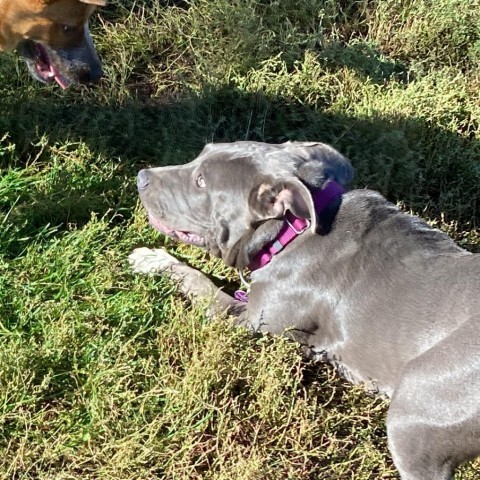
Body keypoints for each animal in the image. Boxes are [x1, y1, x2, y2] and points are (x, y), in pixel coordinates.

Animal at [129, 141, 478, 478]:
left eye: (201, 181)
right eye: (200, 154)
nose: (142, 175)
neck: (292, 229)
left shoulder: (247, 322)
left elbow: (198, 280)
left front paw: (152, 259)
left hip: (414, 411)